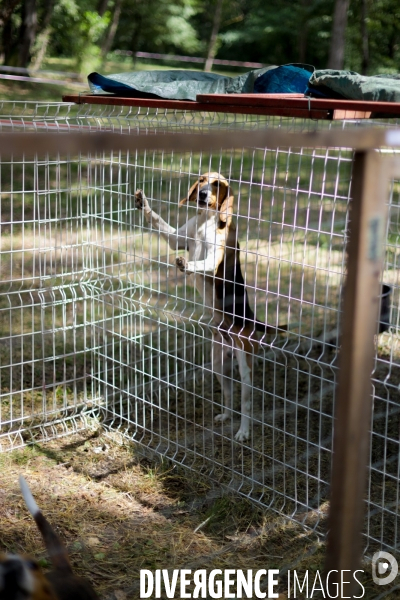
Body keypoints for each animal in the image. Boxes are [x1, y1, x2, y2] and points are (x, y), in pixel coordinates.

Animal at [136, 172, 286, 440]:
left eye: (218, 184)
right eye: (202, 180)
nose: (204, 194)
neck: (205, 221)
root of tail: (251, 319)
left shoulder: (213, 259)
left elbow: (201, 262)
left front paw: (186, 264)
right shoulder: (177, 238)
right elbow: (160, 223)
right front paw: (144, 204)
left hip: (245, 363)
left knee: (246, 401)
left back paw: (243, 431)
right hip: (218, 364)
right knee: (228, 394)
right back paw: (226, 416)